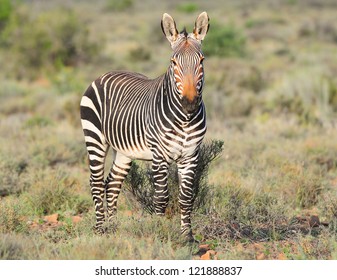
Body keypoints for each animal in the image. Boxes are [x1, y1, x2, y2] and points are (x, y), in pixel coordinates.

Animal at [80, 12, 209, 242]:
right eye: (173, 62)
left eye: (201, 61)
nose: (189, 103)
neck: (184, 119)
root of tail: (105, 74)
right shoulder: (159, 155)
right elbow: (161, 197)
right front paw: (159, 232)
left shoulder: (190, 155)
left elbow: (186, 197)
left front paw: (188, 236)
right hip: (94, 138)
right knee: (96, 182)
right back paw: (100, 228)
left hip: (124, 150)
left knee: (112, 183)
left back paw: (113, 227)